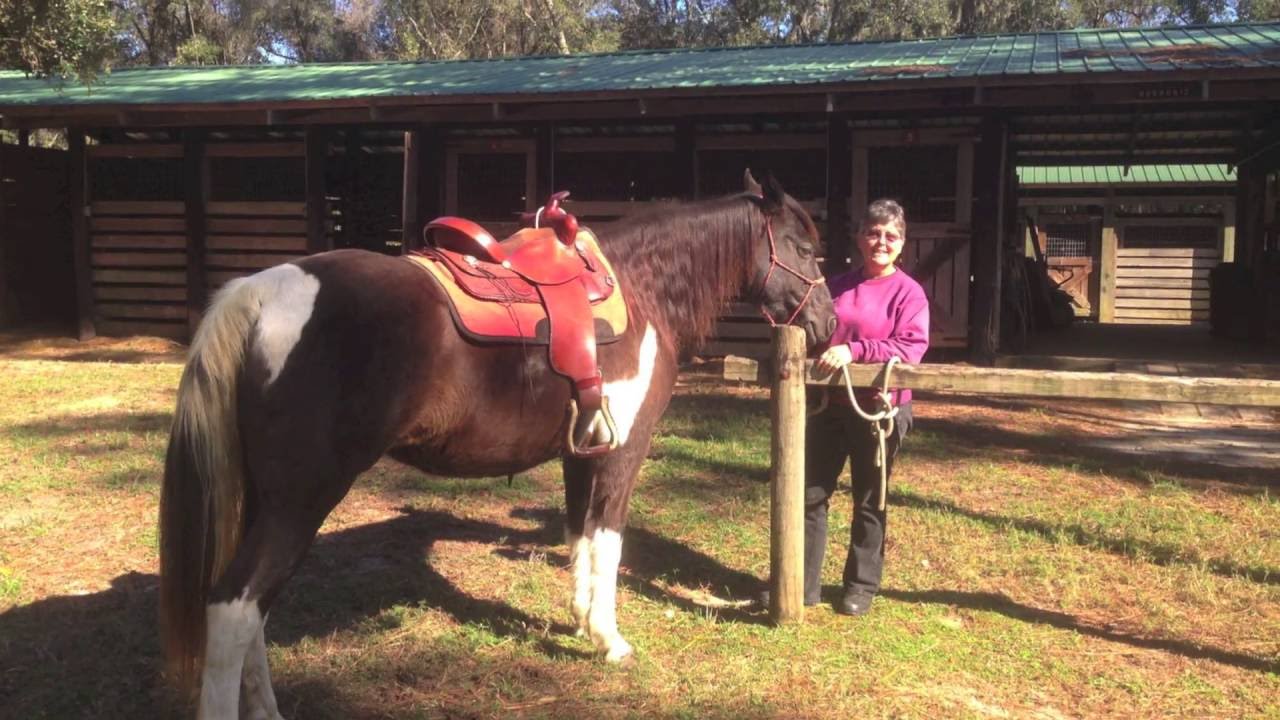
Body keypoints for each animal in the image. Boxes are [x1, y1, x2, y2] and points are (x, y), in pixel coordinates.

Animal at [158, 172, 836, 719]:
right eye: (805, 249)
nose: (828, 325)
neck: (642, 291)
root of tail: (261, 292)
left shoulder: (582, 453)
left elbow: (579, 537)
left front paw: (581, 623)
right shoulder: (623, 453)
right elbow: (608, 542)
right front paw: (610, 640)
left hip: (269, 503)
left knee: (255, 611)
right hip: (300, 503)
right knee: (234, 609)